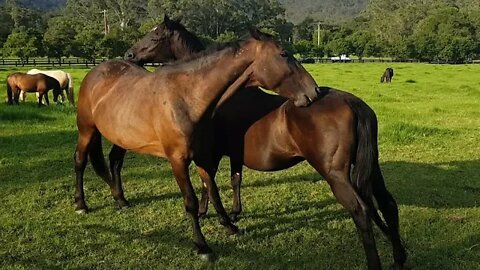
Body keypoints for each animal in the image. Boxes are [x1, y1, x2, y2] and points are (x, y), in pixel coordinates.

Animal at [75, 29, 320, 262]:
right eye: (283, 54)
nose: (314, 91)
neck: (188, 98)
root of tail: (96, 71)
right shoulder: (178, 161)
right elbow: (191, 201)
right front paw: (202, 246)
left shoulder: (204, 155)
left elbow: (213, 190)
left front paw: (229, 226)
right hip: (87, 130)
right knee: (80, 160)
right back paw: (81, 205)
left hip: (123, 138)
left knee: (114, 161)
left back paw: (121, 200)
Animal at [124, 15, 408, 270]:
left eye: (155, 37)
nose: (129, 54)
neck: (212, 96)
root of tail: (353, 102)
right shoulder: (233, 154)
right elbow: (234, 180)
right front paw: (234, 213)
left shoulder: (211, 153)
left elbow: (209, 183)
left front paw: (208, 214)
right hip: (372, 169)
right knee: (388, 205)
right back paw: (398, 257)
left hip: (336, 175)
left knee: (361, 211)